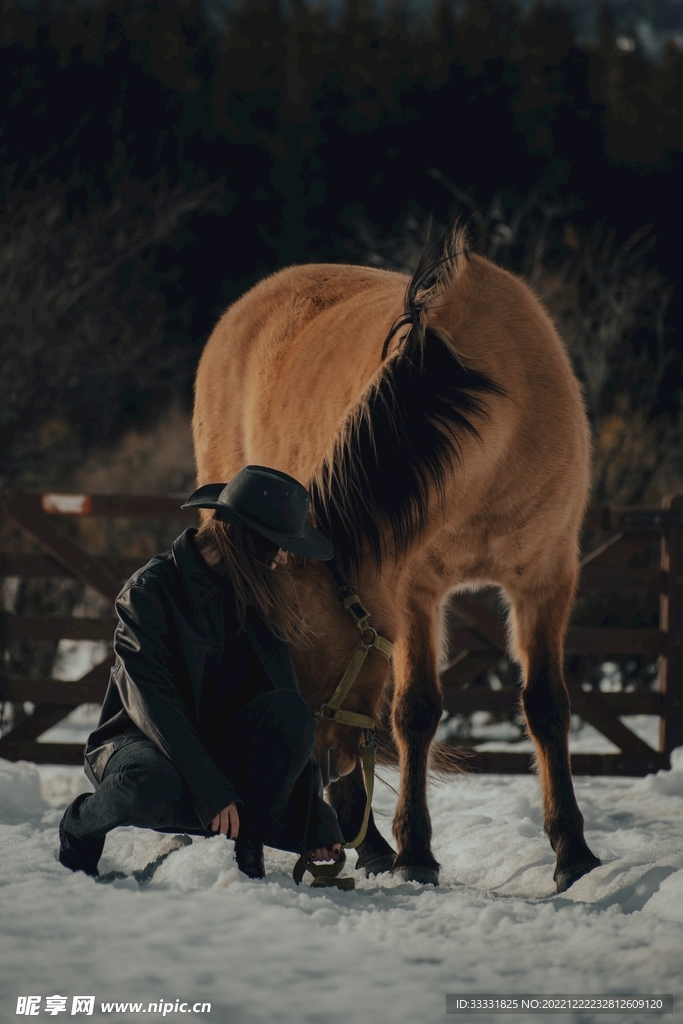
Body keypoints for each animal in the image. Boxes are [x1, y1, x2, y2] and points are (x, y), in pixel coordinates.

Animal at [191, 225, 601, 892]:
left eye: (299, 644)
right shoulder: (413, 591)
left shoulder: (546, 579)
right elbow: (415, 712)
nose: (308, 755)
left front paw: (574, 854)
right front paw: (414, 852)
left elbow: (546, 706)